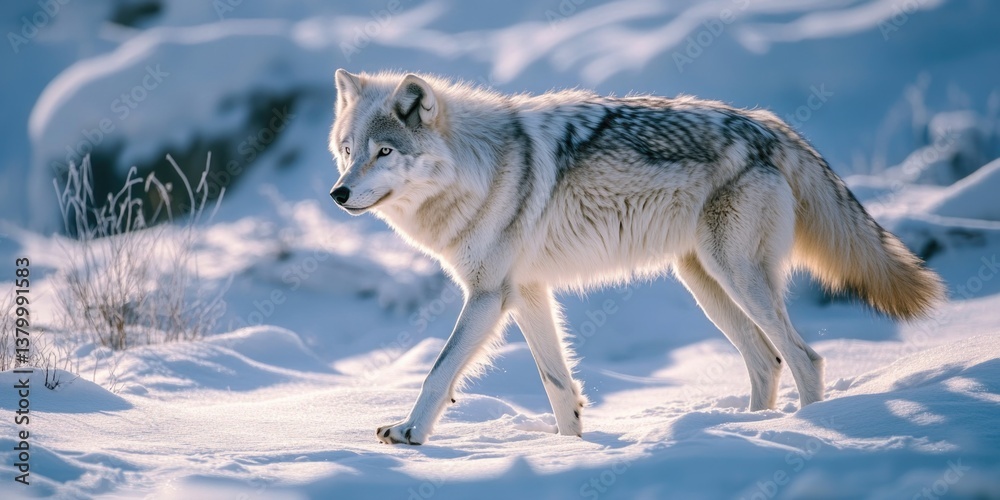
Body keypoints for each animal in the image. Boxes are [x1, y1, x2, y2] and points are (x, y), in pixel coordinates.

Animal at [328, 69, 945, 445]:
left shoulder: (487, 296)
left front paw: (409, 434)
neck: (483, 167)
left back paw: (808, 429)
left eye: (385, 152)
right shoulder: (525, 293)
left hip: (736, 277)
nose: (337, 193)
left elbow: (439, 371)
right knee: (766, 361)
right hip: (705, 284)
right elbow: (558, 385)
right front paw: (568, 449)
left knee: (805, 359)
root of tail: (769, 124)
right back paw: (742, 431)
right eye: (348, 150)